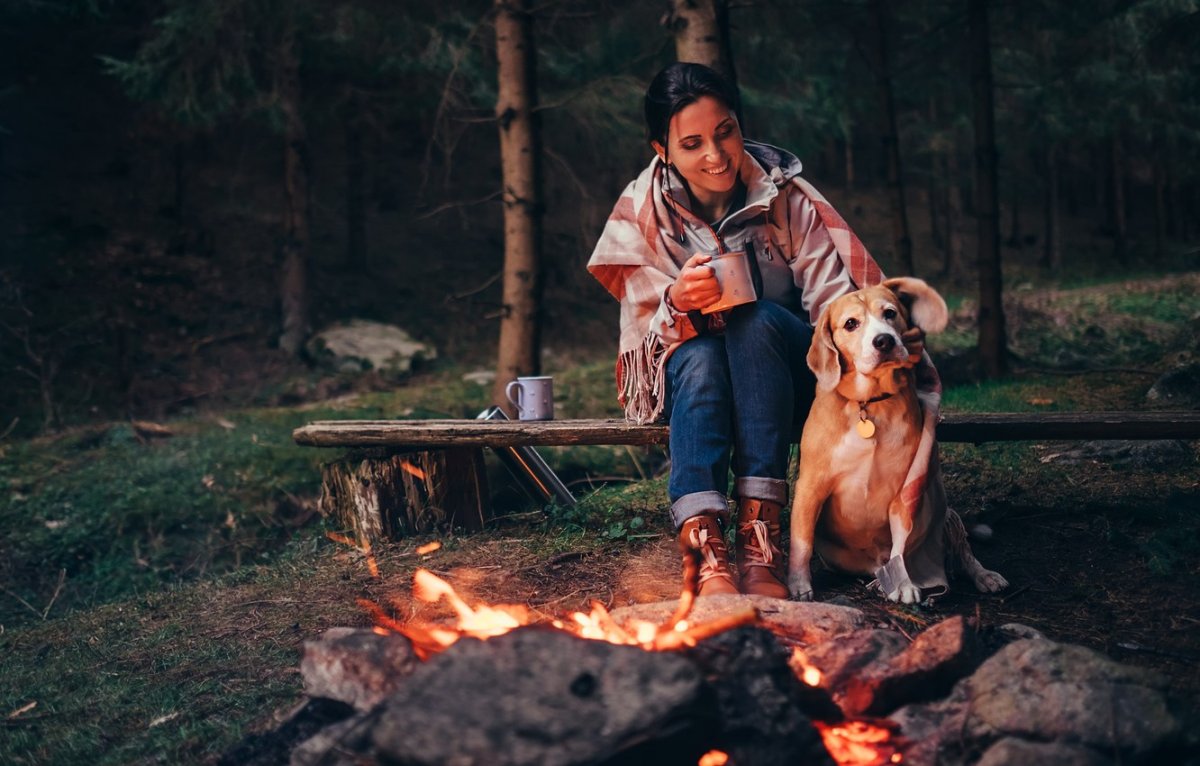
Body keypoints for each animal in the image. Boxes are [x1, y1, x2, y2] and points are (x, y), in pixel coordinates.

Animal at [787, 278, 1003, 602]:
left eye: (889, 313)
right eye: (851, 323)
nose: (884, 341)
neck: (869, 404)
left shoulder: (905, 492)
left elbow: (901, 545)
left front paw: (903, 585)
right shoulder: (811, 487)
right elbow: (801, 542)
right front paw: (799, 585)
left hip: (944, 511)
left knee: (964, 553)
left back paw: (984, 576)